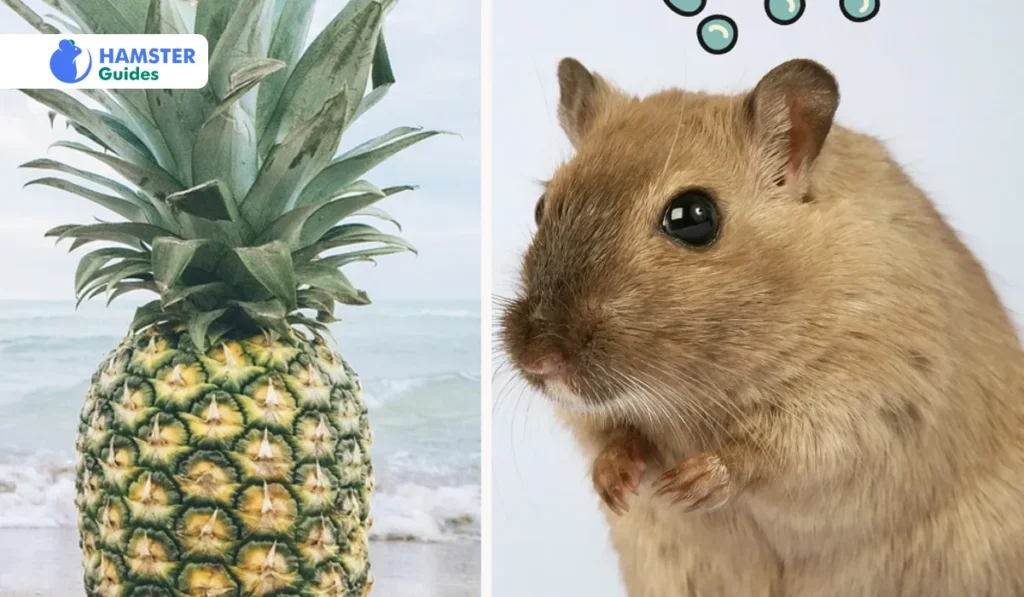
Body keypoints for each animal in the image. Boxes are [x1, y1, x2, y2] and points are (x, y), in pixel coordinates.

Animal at [499, 57, 1024, 597]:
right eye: (541, 208)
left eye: (692, 218)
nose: (538, 360)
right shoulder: (596, 416)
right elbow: (610, 436)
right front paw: (616, 486)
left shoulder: (873, 396)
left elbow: (772, 451)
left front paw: (689, 483)